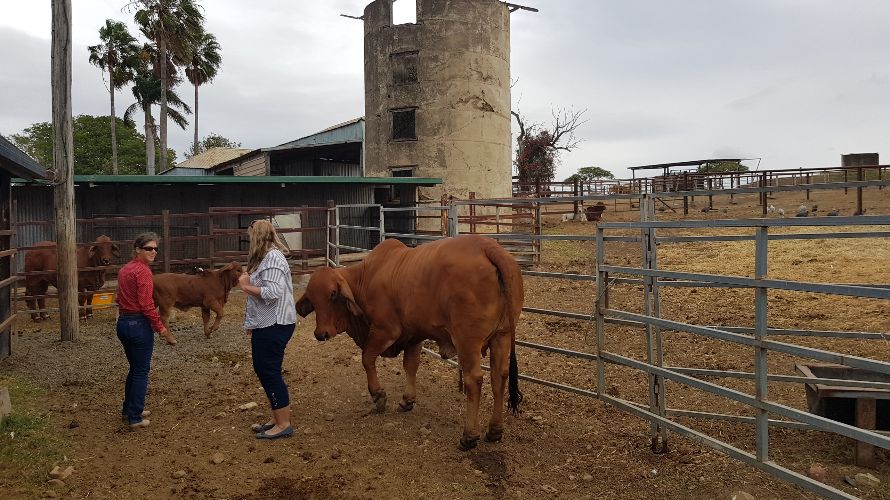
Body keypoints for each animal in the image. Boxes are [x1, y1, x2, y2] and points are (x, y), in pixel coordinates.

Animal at [294, 236, 524, 452]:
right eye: (312, 300)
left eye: (333, 294)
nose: (320, 333)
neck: (366, 278)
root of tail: (488, 247)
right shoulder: (414, 335)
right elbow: (410, 366)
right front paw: (407, 400)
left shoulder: (385, 330)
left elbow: (367, 358)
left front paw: (378, 396)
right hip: (502, 335)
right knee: (499, 376)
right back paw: (495, 430)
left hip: (467, 341)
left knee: (474, 380)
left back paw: (469, 436)